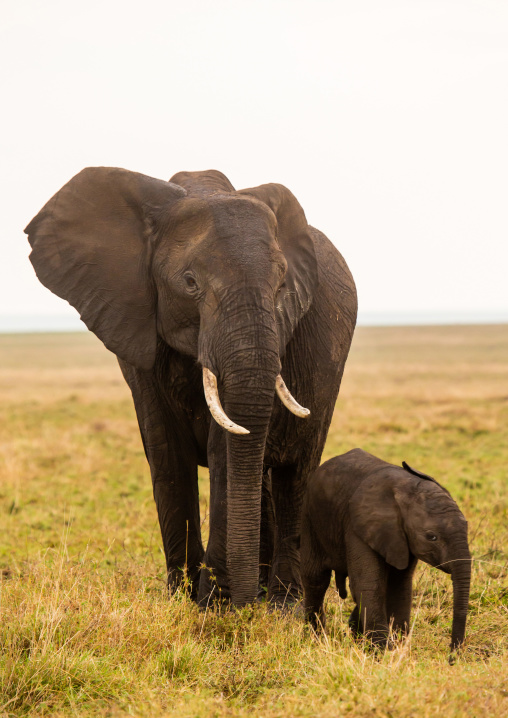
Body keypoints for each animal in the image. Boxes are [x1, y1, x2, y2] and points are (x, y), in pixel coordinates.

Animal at [25, 167, 357, 608]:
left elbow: (225, 448)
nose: (242, 604)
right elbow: (167, 452)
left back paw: (283, 606)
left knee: (295, 473)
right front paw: (183, 600)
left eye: (281, 284)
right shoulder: (135, 323)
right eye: (189, 282)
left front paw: (213, 603)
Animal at [301, 449, 471, 651]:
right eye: (432, 537)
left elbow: (400, 584)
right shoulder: (359, 526)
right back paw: (315, 638)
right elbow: (369, 584)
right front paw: (384, 652)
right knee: (316, 578)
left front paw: (397, 648)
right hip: (311, 520)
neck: (406, 491)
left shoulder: (402, 539)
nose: (451, 655)